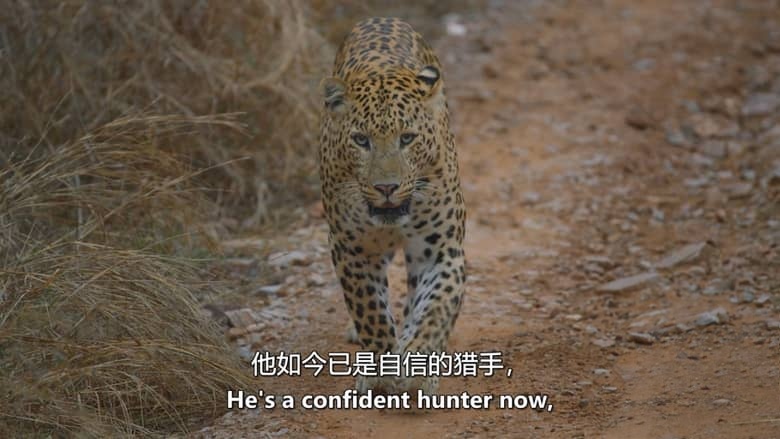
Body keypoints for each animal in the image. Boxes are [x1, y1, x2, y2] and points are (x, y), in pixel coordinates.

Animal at [318, 17, 466, 396]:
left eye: (407, 138)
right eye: (361, 140)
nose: (386, 187)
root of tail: (381, 19)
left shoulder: (441, 250)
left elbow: (436, 309)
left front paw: (417, 366)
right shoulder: (351, 249)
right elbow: (370, 309)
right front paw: (381, 370)